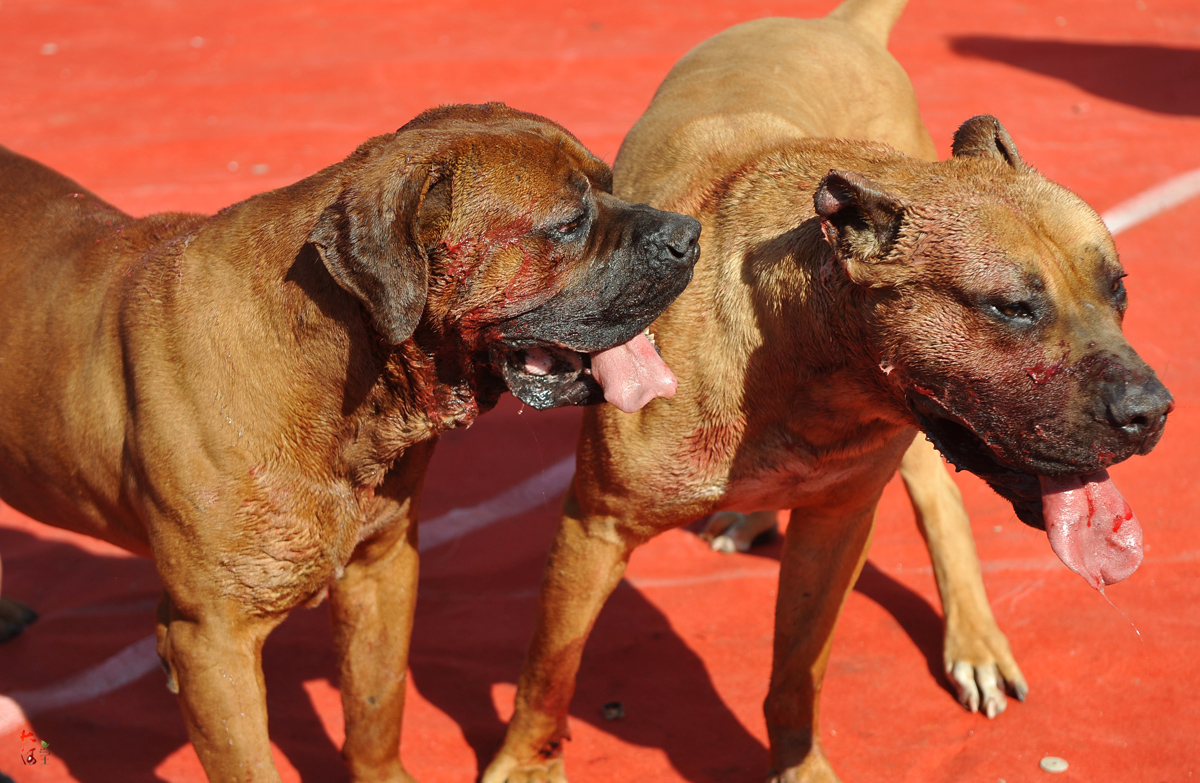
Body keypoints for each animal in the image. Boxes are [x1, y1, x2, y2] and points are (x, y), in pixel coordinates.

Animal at [0, 102, 700, 783]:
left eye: (612, 185)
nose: (689, 234)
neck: (338, 377)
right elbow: (251, 765)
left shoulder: (381, 567)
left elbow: (375, 704)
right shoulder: (212, 641)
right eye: (570, 223)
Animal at [482, 3, 1166, 778]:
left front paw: (800, 762)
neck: (800, 358)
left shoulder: (837, 528)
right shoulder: (593, 529)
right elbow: (549, 670)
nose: (1153, 412)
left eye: (1119, 288)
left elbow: (796, 673)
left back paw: (974, 640)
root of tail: (841, 24)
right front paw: (524, 764)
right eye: (1012, 308)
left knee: (940, 501)